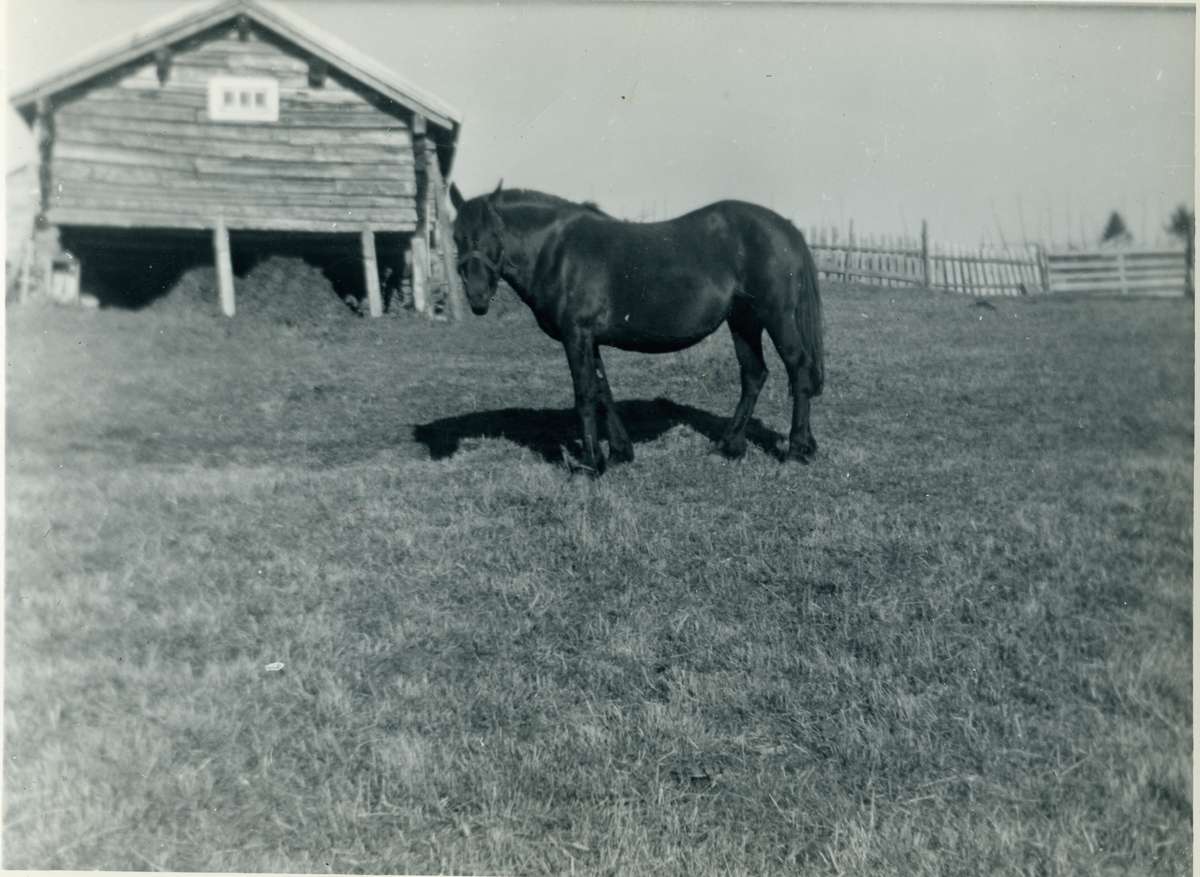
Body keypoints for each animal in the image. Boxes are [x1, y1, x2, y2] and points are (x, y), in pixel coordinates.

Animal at [451, 183, 825, 472]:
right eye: (456, 236)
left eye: (493, 234)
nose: (477, 298)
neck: (558, 250)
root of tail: (786, 227)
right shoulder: (589, 340)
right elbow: (602, 392)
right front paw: (619, 453)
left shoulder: (576, 335)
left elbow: (584, 396)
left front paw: (589, 465)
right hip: (744, 320)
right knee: (754, 375)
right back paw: (730, 447)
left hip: (777, 317)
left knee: (799, 371)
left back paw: (795, 451)